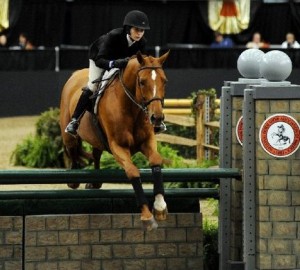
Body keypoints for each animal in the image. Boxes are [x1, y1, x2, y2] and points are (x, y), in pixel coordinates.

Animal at [59, 51, 170, 230]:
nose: (157, 118)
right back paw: (74, 181)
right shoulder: (118, 146)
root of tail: (74, 74)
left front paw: (160, 207)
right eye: (142, 82)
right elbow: (133, 172)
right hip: (69, 135)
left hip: (96, 139)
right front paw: (147, 216)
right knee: (73, 150)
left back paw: (95, 183)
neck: (131, 108)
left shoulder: (147, 141)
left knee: (96, 154)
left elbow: (156, 161)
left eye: (164, 81)